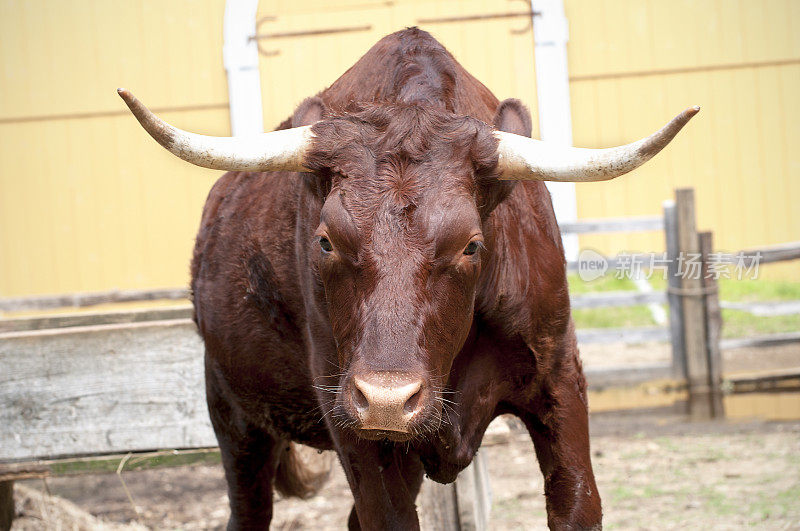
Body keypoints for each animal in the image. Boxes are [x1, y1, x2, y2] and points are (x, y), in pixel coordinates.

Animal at [115, 27, 696, 528]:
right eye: (325, 240)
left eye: (472, 245)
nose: (388, 400)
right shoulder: (350, 417)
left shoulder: (559, 378)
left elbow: (577, 504)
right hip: (235, 418)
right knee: (249, 510)